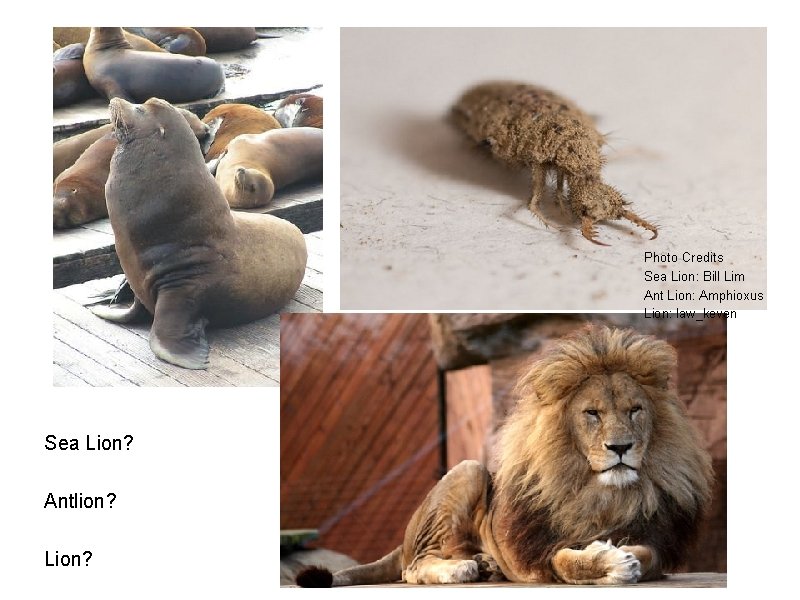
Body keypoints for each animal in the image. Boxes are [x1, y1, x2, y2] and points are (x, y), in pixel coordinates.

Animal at [297, 325, 714, 586]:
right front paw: (609, 562)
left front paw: (621, 557)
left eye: (635, 411)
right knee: (412, 568)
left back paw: (485, 565)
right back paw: (462, 569)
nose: (621, 447)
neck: (600, 493)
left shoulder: (656, 538)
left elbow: (644, 553)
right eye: (592, 413)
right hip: (468, 470)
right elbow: (568, 561)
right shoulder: (544, 549)